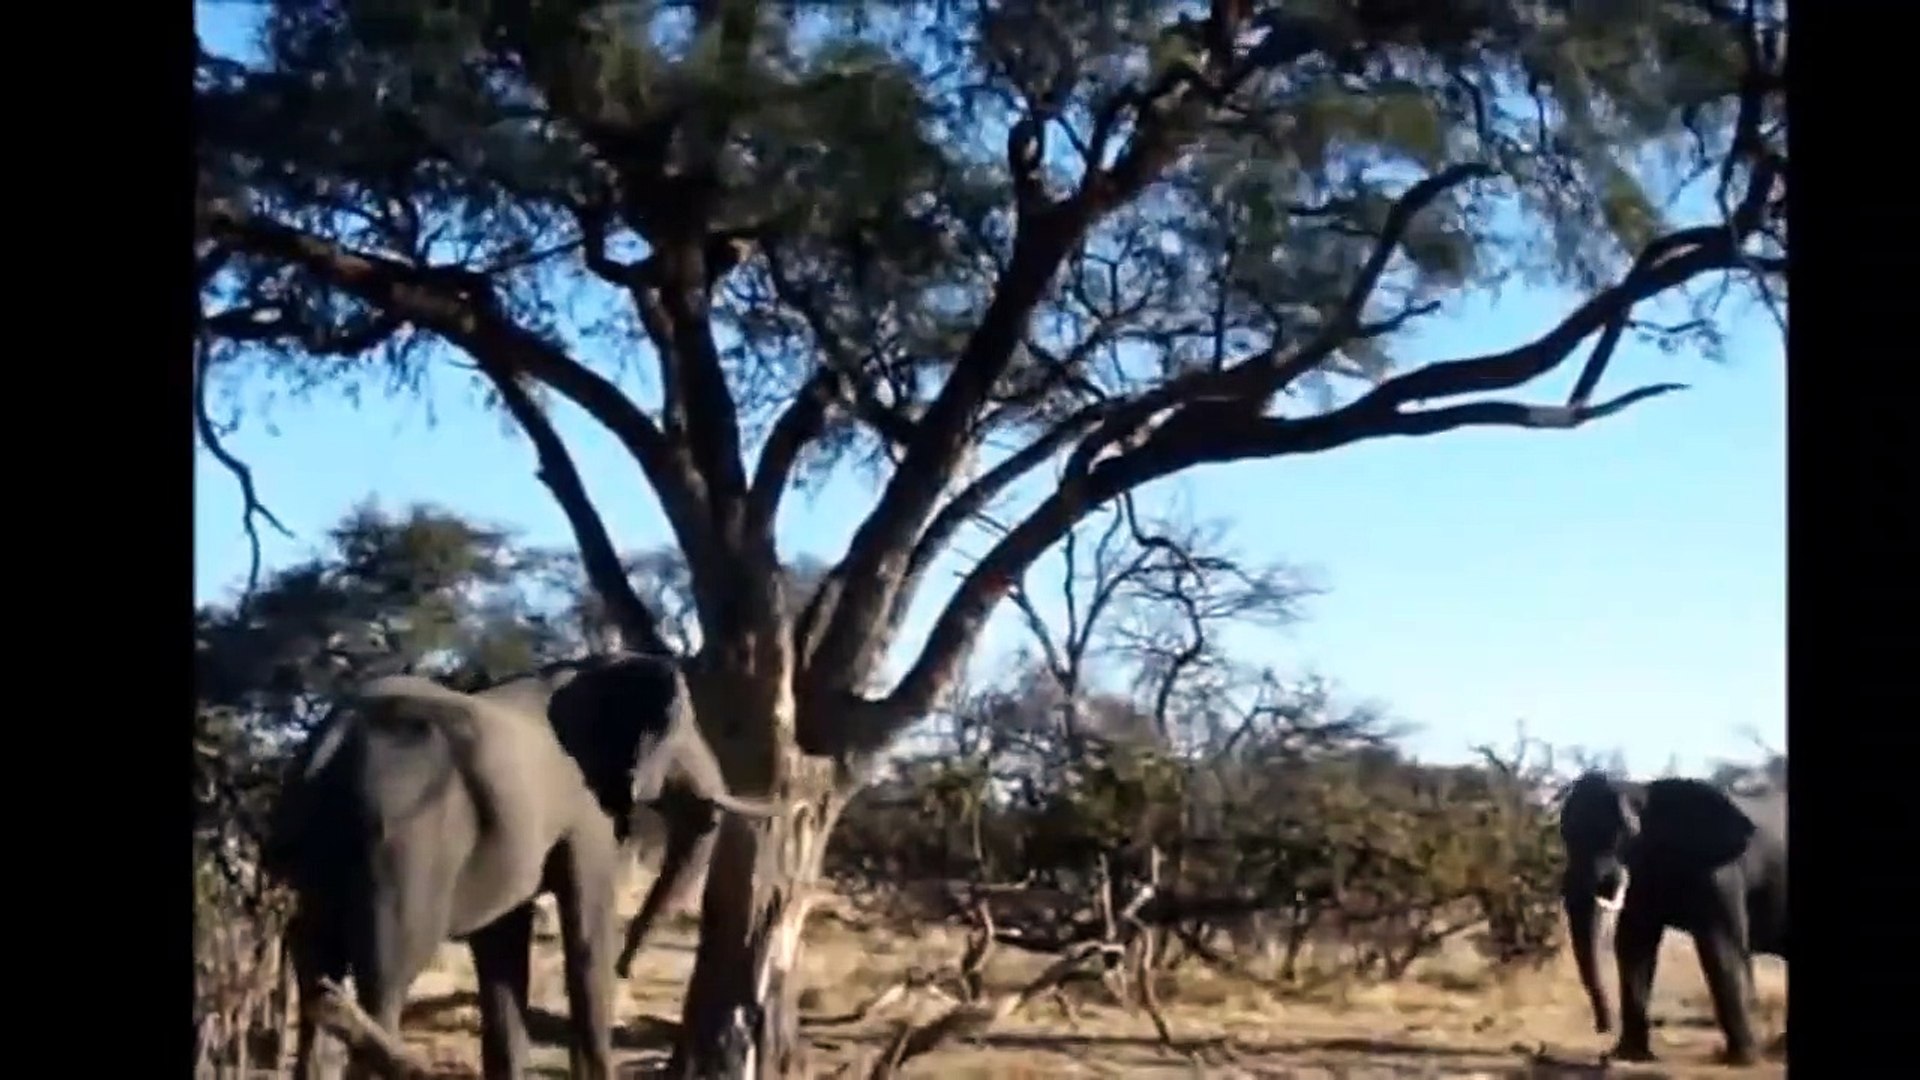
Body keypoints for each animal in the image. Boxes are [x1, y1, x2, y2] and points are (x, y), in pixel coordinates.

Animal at [1557, 769, 1787, 1065]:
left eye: (1625, 833)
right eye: (1564, 834)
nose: (1602, 1028)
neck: (1642, 791)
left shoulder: (1720, 871)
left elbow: (1722, 947)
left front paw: (1742, 1060)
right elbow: (1633, 945)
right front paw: (1630, 1056)